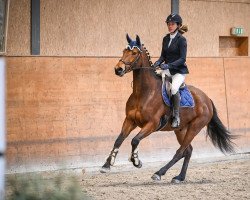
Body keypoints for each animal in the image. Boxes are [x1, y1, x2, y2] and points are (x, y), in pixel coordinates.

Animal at [99, 34, 234, 183]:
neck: (144, 92)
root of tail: (207, 99)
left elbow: (135, 140)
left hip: (195, 127)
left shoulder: (152, 124)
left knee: (180, 151)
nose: (118, 69)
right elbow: (118, 140)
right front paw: (106, 165)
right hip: (181, 129)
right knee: (188, 151)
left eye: (134, 53)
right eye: (124, 51)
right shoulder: (130, 120)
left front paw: (136, 161)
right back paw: (179, 177)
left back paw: (159, 173)